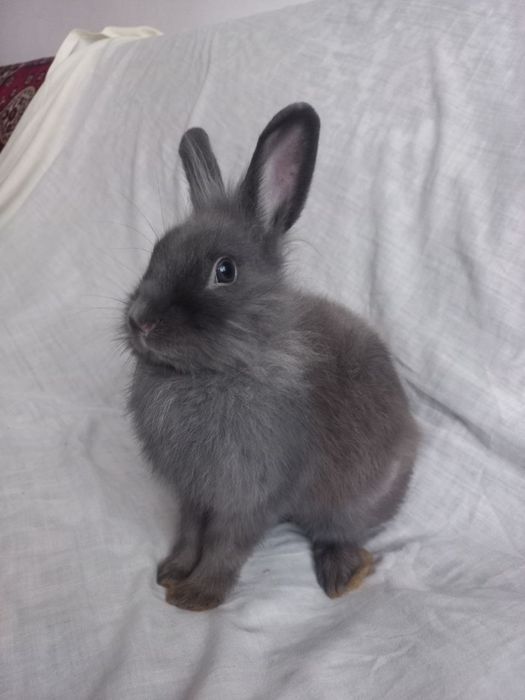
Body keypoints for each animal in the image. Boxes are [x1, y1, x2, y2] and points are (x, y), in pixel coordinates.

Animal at [124, 103, 419, 611]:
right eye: (157, 252)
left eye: (224, 271)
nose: (140, 320)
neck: (212, 372)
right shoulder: (193, 493)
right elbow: (189, 534)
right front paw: (172, 573)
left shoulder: (251, 496)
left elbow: (225, 546)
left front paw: (197, 597)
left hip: (351, 503)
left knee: (339, 532)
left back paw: (343, 575)